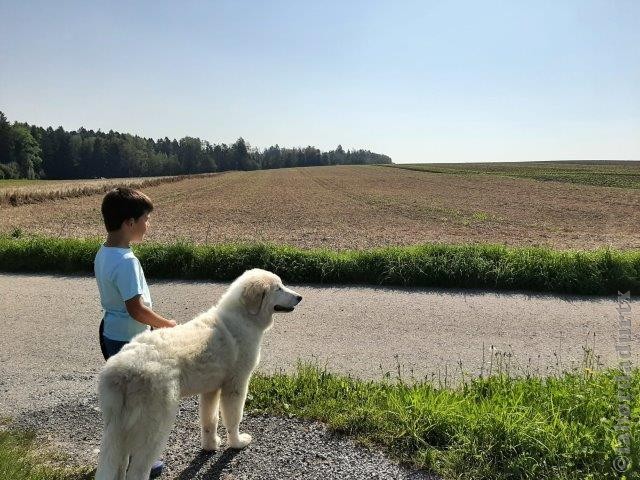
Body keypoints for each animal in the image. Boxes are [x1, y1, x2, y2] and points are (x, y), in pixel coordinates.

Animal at [95, 268, 302, 480]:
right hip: (154, 425)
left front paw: (210, 446)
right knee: (137, 469)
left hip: (116, 427)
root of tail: (122, 370)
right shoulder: (236, 385)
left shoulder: (211, 389)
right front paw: (237, 443)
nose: (299, 297)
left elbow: (210, 419)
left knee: (118, 463)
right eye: (278, 288)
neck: (244, 317)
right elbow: (234, 417)